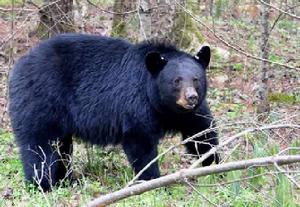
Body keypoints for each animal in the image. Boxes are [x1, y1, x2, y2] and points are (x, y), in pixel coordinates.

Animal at [9, 34, 219, 191]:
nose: (191, 97)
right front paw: (153, 181)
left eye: (196, 79)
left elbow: (202, 133)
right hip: (42, 100)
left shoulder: (189, 114)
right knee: (40, 146)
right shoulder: (136, 104)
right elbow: (140, 142)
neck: (163, 106)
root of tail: (18, 65)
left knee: (61, 146)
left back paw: (66, 180)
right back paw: (43, 184)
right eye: (176, 81)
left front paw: (214, 166)